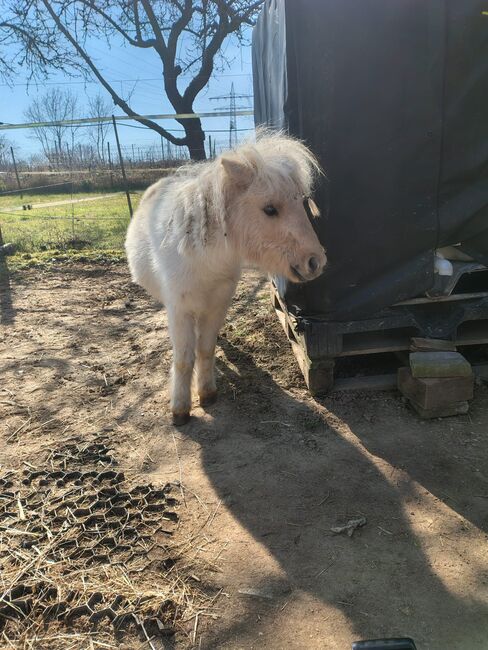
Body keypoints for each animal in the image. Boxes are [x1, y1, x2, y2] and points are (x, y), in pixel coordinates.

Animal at [125, 132, 327, 425]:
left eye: (302, 203)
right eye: (269, 209)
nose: (315, 262)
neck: (203, 258)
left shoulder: (216, 306)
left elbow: (205, 349)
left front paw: (206, 392)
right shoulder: (181, 310)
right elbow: (183, 360)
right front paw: (180, 409)